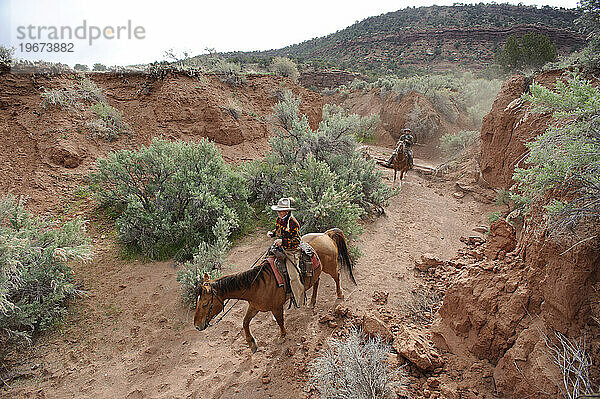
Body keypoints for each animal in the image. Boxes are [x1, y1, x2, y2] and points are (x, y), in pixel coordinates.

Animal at [192, 228, 354, 354]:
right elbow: (245, 322)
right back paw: (312, 302)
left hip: (330, 266)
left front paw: (282, 336)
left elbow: (280, 321)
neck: (257, 285)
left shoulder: (276, 307)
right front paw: (252, 344)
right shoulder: (254, 307)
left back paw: (340, 294)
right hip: (317, 272)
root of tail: (326, 234)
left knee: (337, 276)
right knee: (317, 282)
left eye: (205, 304)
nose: (197, 326)